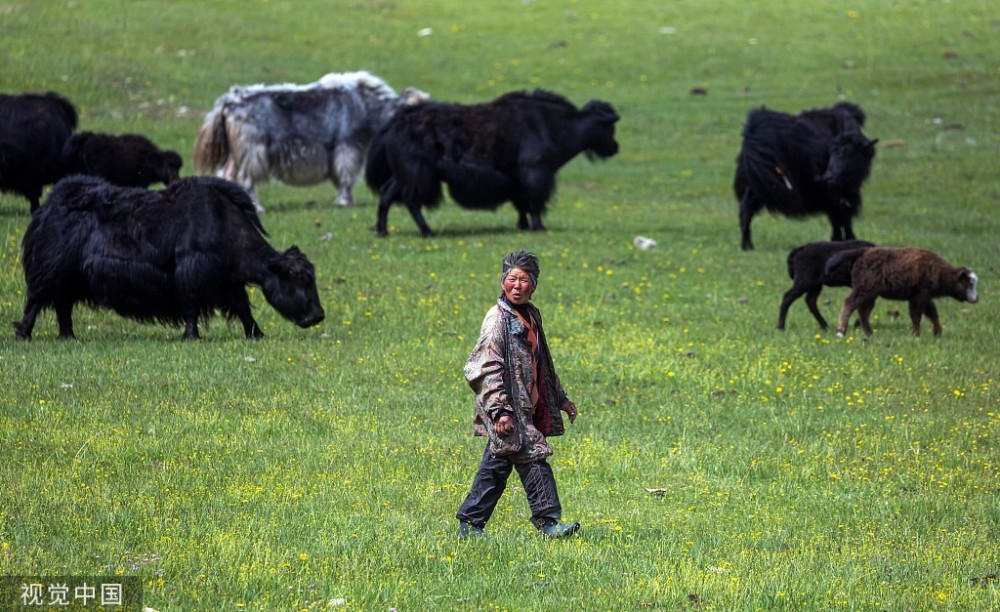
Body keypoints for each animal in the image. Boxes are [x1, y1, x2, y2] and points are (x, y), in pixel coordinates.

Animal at [12, 176, 324, 340]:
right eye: (298, 278)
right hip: (50, 268)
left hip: (69, 278)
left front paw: (256, 334)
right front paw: (191, 337)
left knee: (62, 304)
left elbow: (242, 307)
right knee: (37, 300)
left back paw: (69, 336)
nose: (318, 315)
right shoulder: (190, 273)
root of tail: (49, 205)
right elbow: (190, 305)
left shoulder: (225, 281)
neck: (223, 224)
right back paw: (24, 333)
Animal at [368, 88, 616, 237]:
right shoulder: (535, 172)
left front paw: (523, 226)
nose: (615, 147)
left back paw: (383, 230)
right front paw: (538, 227)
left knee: (387, 193)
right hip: (418, 173)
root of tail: (396, 122)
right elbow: (535, 202)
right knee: (411, 200)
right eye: (610, 126)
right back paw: (426, 230)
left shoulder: (518, 179)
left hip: (404, 173)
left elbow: (522, 204)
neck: (555, 125)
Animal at [832, 246, 980, 338]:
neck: (939, 271)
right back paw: (841, 331)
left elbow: (932, 314)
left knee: (863, 311)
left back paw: (869, 334)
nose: (976, 298)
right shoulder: (919, 296)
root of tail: (863, 253)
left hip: (870, 294)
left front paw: (937, 332)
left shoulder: (924, 297)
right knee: (849, 303)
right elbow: (916, 316)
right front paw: (916, 335)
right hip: (864, 290)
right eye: (969, 283)